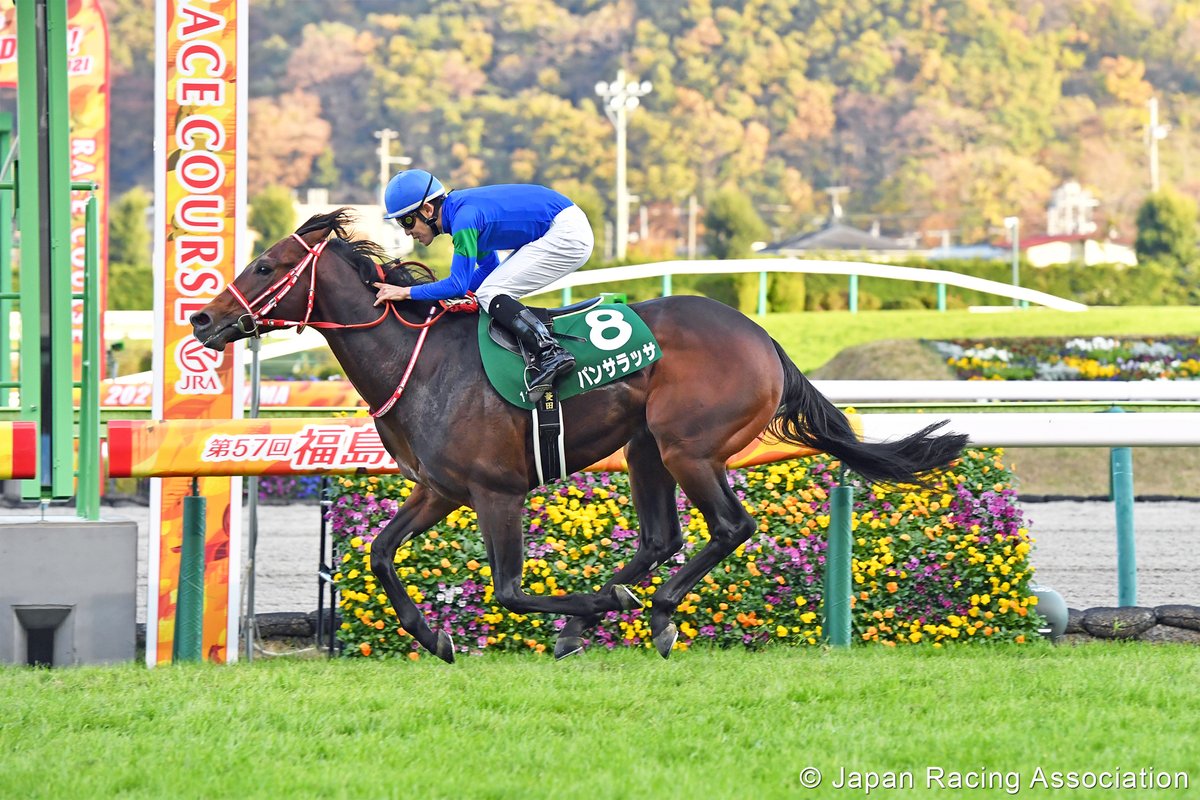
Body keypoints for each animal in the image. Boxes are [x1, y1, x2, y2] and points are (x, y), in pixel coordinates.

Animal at [190, 209, 968, 662]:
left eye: (264, 265)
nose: (202, 319)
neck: (419, 360)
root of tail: (763, 338)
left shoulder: (496, 492)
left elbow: (508, 591)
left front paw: (596, 606)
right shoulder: (440, 489)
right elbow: (380, 555)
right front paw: (435, 636)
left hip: (687, 446)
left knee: (729, 526)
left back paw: (651, 610)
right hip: (645, 447)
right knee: (662, 537)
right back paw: (594, 619)